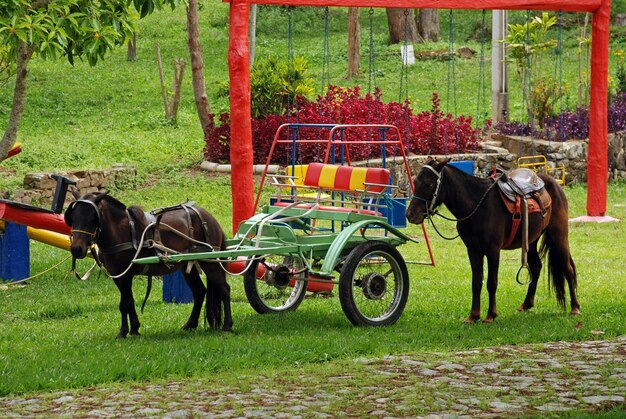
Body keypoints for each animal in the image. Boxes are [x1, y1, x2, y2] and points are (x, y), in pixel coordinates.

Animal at [64, 193, 233, 338]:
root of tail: (210, 218)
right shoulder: (117, 275)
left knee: (224, 289)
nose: (76, 249)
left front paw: (123, 332)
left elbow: (124, 303)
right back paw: (190, 324)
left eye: (94, 218)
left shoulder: (126, 275)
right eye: (72, 217)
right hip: (187, 266)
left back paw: (227, 326)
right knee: (199, 292)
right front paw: (134, 328)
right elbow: (129, 301)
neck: (121, 230)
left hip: (209, 261)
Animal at [408, 159, 576, 324]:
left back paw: (575, 307)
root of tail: (553, 183)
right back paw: (526, 304)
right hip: (531, 240)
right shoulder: (473, 250)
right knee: (536, 267)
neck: (477, 205)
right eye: (415, 181)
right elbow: (476, 282)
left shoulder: (493, 250)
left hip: (559, 235)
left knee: (568, 269)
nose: (410, 214)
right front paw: (473, 315)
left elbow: (491, 282)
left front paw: (490, 315)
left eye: (429, 184)